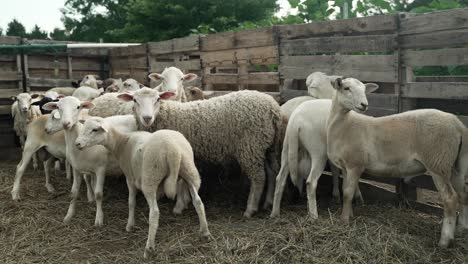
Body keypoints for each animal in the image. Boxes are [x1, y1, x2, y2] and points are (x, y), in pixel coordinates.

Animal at [75, 117, 210, 258]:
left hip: (150, 177)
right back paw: (205, 232)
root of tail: (173, 151)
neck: (121, 143)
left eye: (95, 129)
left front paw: (130, 225)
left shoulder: (130, 177)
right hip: (189, 171)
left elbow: (131, 202)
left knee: (154, 212)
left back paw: (149, 248)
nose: (77, 144)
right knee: (198, 201)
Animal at [117, 87, 284, 218]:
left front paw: (179, 206)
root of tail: (273, 107)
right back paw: (268, 202)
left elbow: (180, 182)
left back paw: (250, 209)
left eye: (157, 99)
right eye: (135, 100)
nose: (147, 118)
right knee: (272, 172)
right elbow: (184, 181)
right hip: (268, 146)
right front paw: (184, 202)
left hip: (251, 146)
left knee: (259, 178)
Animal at [326, 77, 468, 248]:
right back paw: (461, 229)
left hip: (437, 161)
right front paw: (350, 215)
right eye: (346, 88)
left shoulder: (355, 164)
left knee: (450, 198)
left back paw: (445, 240)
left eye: (364, 90)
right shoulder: (347, 166)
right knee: (463, 193)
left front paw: (344, 221)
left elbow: (347, 193)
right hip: (454, 164)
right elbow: (347, 190)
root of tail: (457, 124)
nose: (364, 105)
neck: (344, 124)